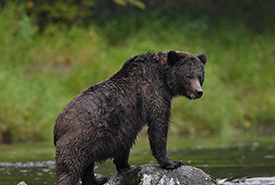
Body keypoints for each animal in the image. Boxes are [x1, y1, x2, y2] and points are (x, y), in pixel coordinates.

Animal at [53, 49, 207, 184]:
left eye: (200, 76)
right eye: (188, 76)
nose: (198, 92)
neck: (164, 78)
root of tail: (56, 127)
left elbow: (125, 143)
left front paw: (126, 166)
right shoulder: (154, 92)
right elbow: (159, 124)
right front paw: (172, 162)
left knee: (89, 165)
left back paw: (99, 179)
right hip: (78, 139)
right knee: (70, 170)